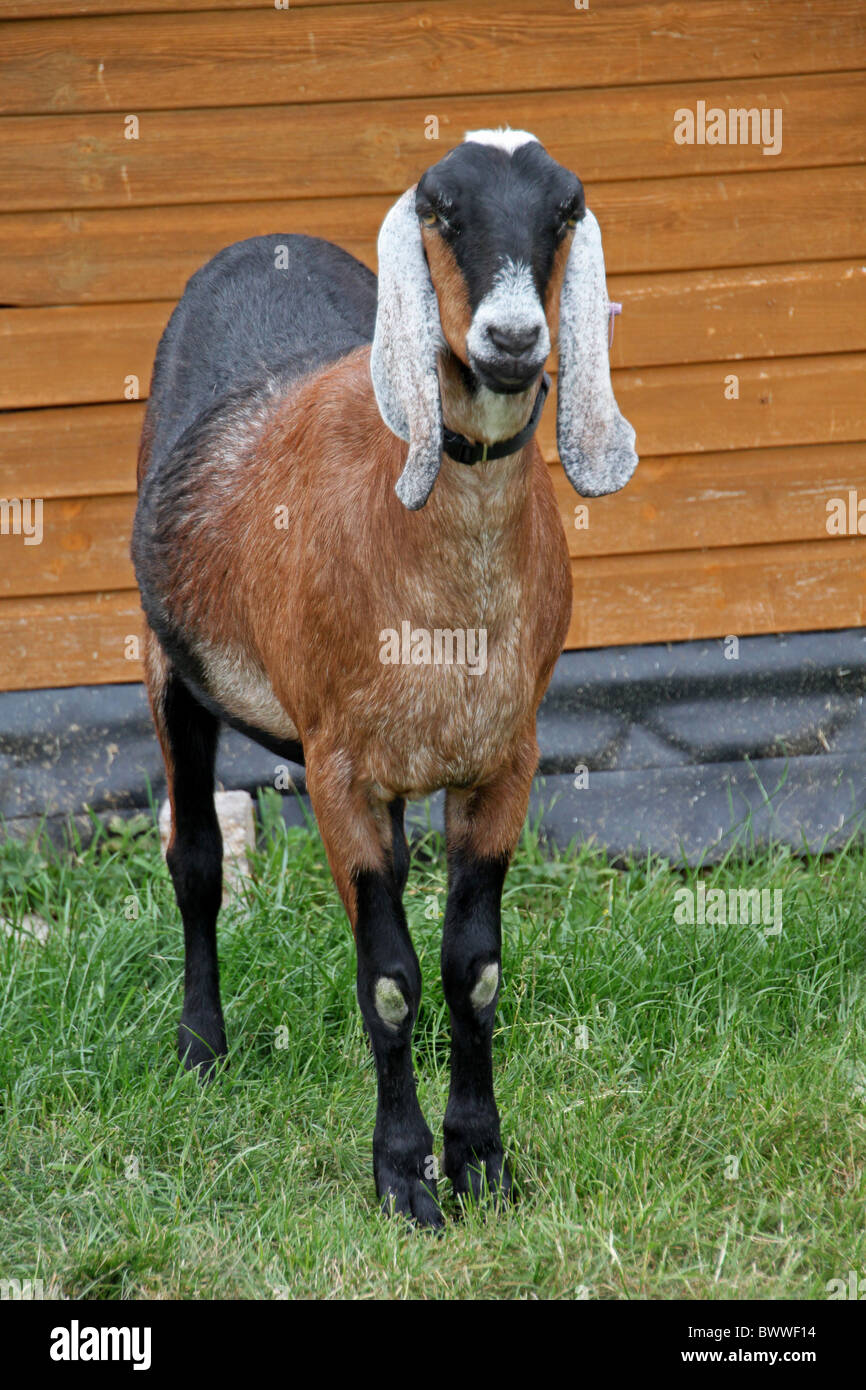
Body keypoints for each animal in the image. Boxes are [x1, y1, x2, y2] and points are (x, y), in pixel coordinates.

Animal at [132, 128, 638, 1228]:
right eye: (441, 208)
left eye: (564, 210)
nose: (510, 337)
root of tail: (261, 241)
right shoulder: (338, 771)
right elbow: (391, 981)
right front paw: (404, 1173)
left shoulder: (502, 760)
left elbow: (471, 969)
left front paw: (481, 1159)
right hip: (167, 666)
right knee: (195, 860)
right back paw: (201, 1047)